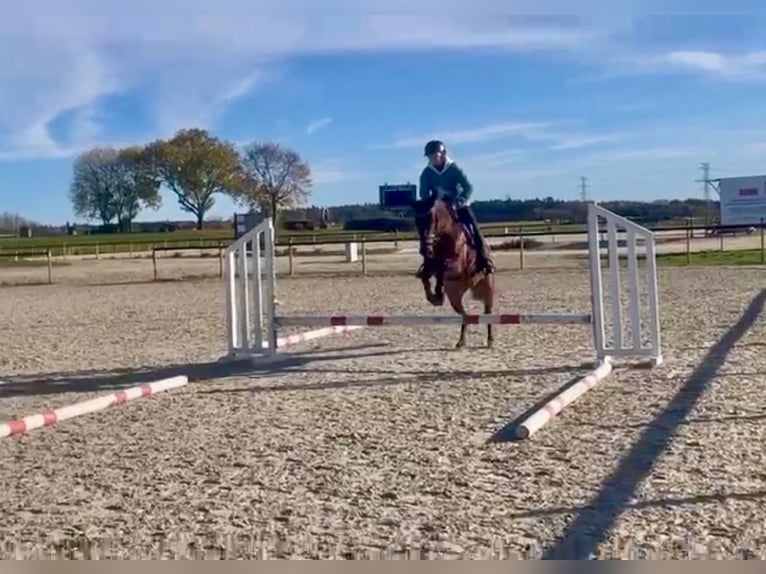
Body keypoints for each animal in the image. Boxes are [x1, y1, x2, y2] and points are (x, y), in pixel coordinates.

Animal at [414, 198, 498, 352]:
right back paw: (461, 341)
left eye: (432, 219)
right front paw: (434, 297)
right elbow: (426, 276)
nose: (425, 250)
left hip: (487, 288)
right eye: (417, 221)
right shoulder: (431, 265)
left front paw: (437, 293)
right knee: (465, 315)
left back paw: (490, 340)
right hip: (455, 296)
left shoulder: (456, 263)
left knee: (488, 312)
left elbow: (444, 268)